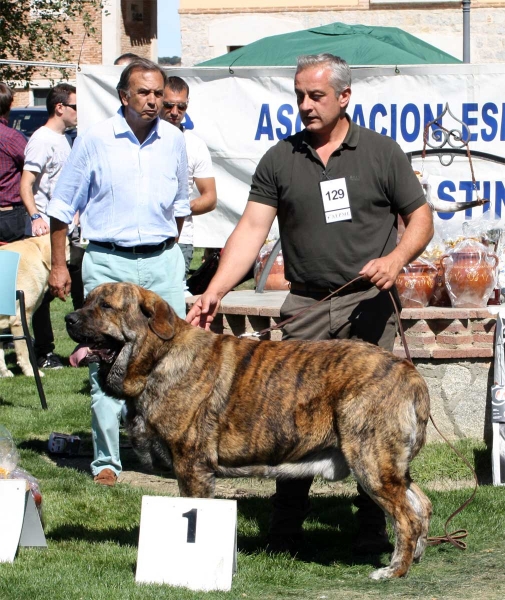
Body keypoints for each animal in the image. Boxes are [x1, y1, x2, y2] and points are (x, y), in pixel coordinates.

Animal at [65, 284, 432, 580]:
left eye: (106, 306)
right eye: (86, 301)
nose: (69, 318)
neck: (159, 358)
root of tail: (408, 371)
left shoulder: (191, 466)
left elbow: (195, 509)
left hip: (370, 462)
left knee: (406, 517)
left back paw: (394, 570)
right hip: (388, 466)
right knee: (421, 505)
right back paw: (416, 555)